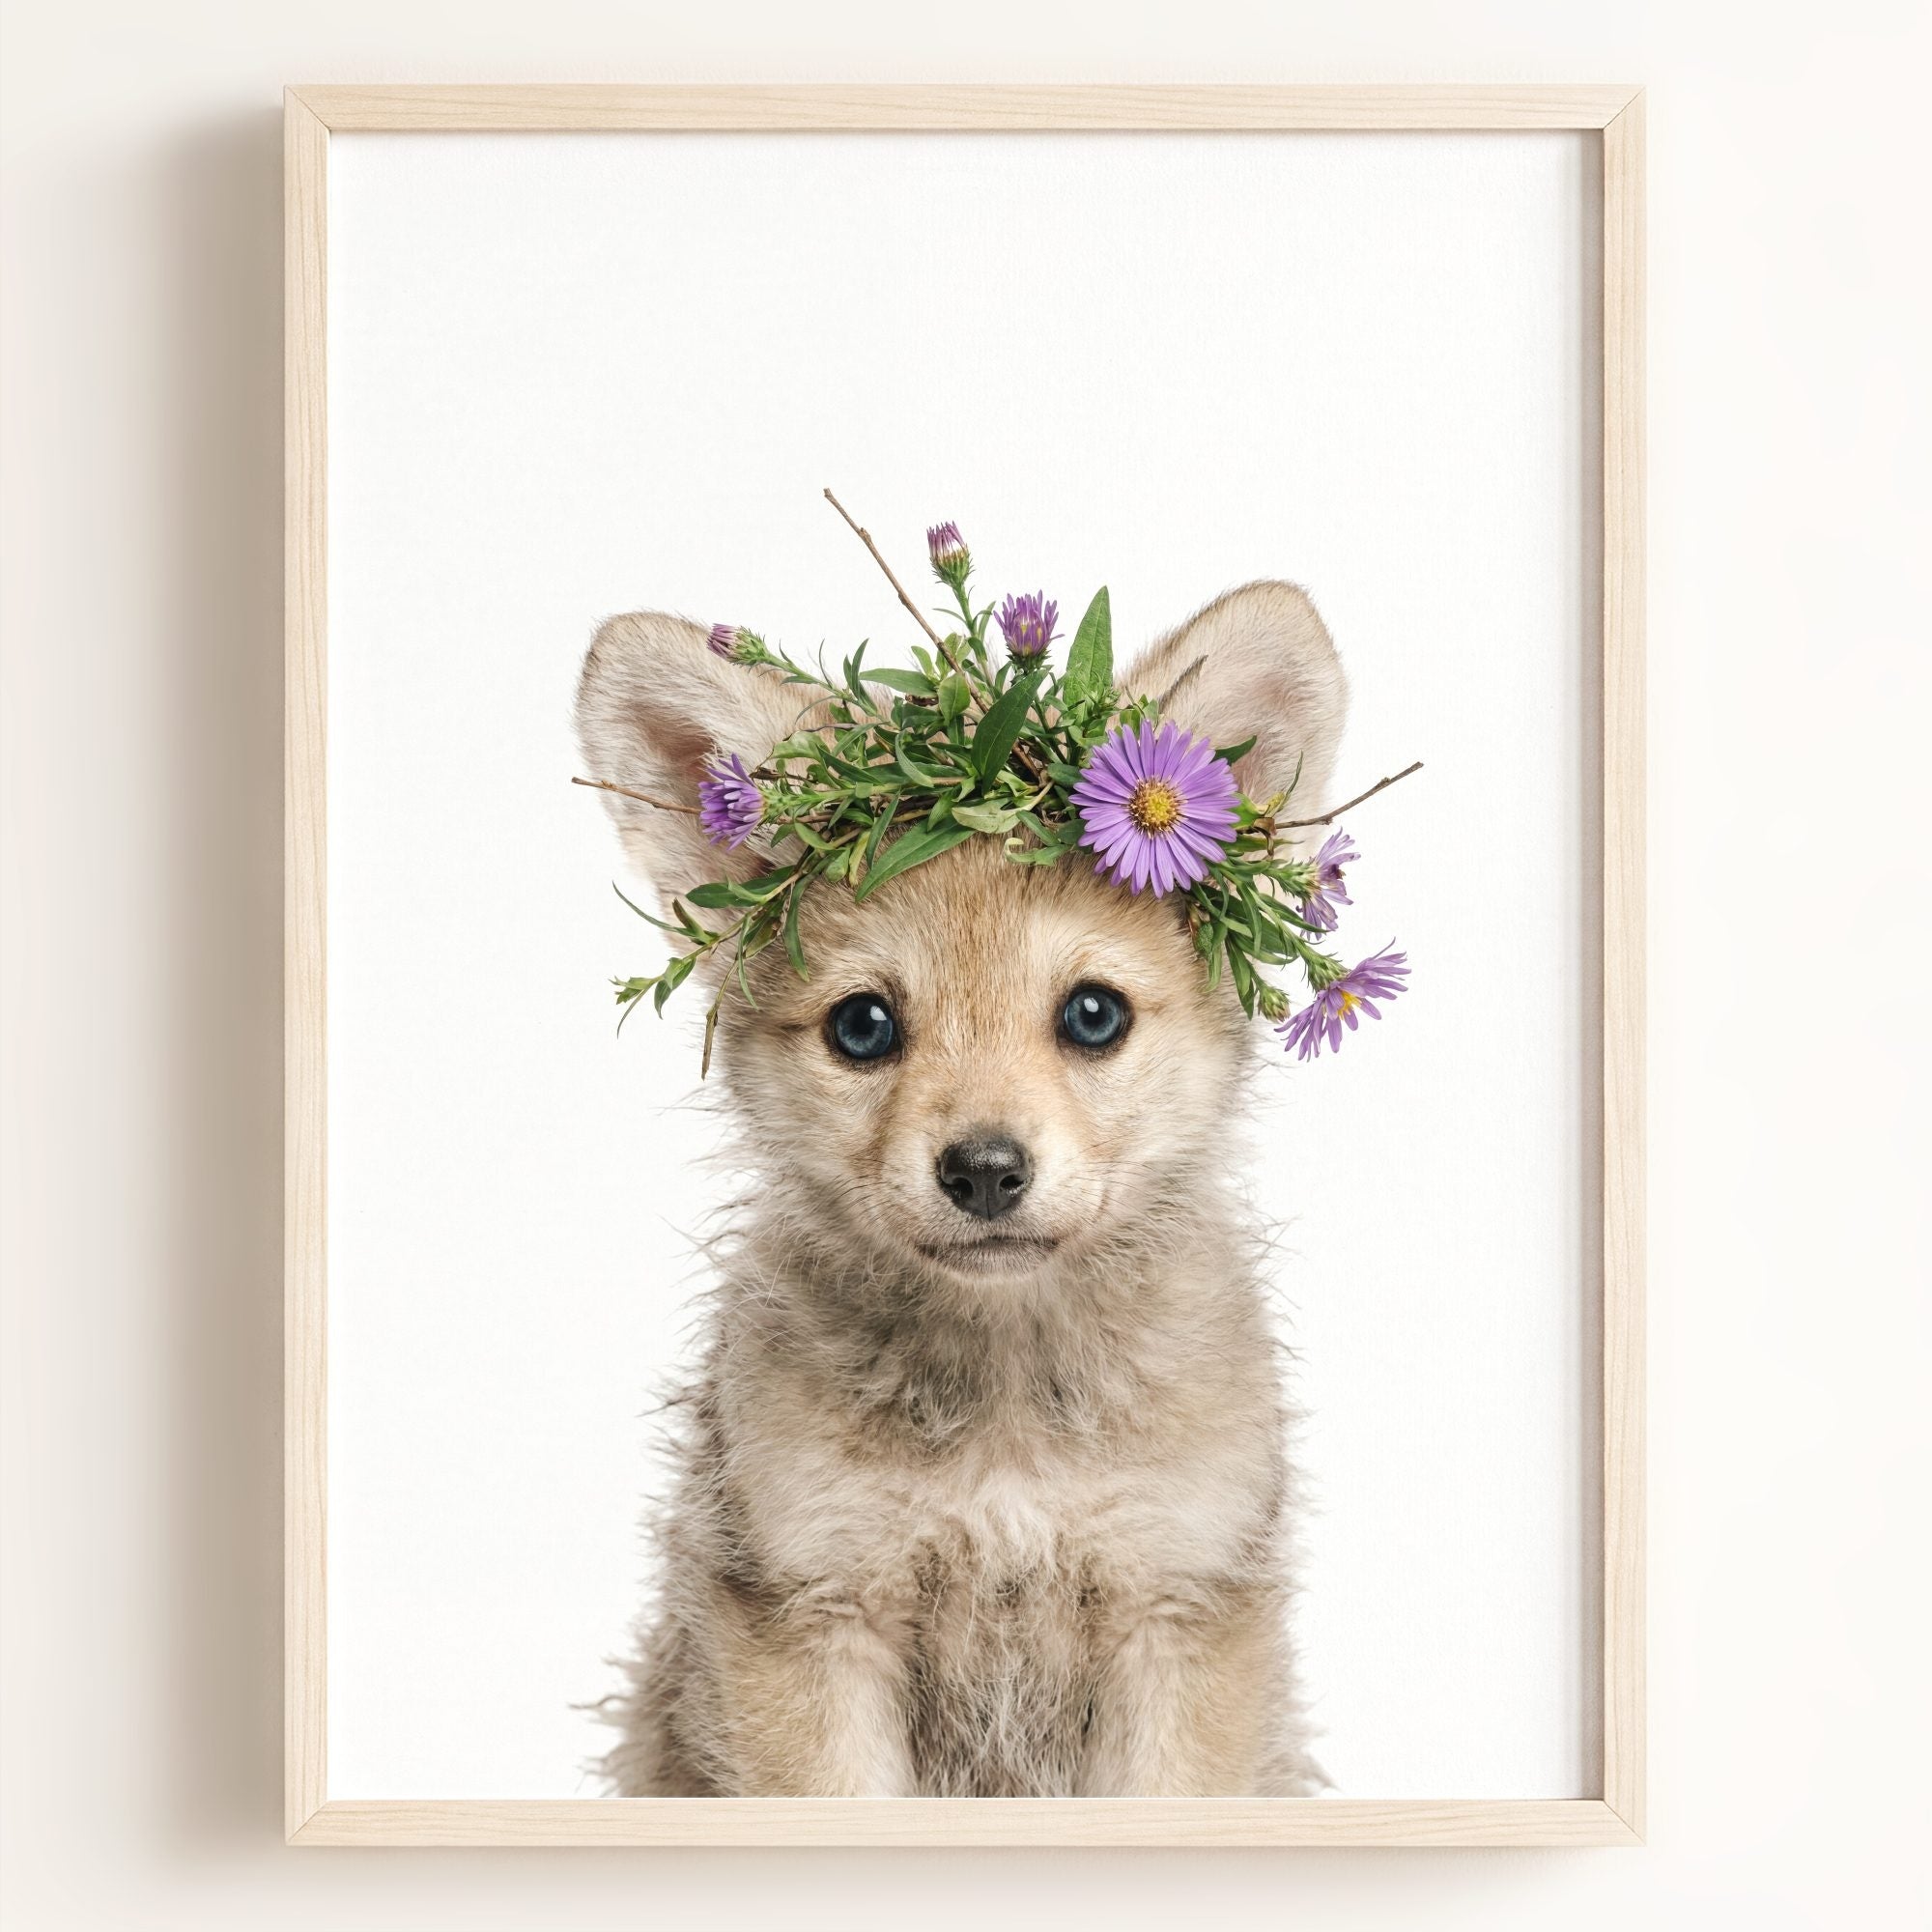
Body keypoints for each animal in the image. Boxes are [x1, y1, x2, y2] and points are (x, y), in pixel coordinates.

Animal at [576, 581, 1347, 1796]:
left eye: (1093, 1013)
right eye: (861, 1025)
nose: (984, 1169)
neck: (1007, 1415)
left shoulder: (1175, 1605)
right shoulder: (811, 1609)